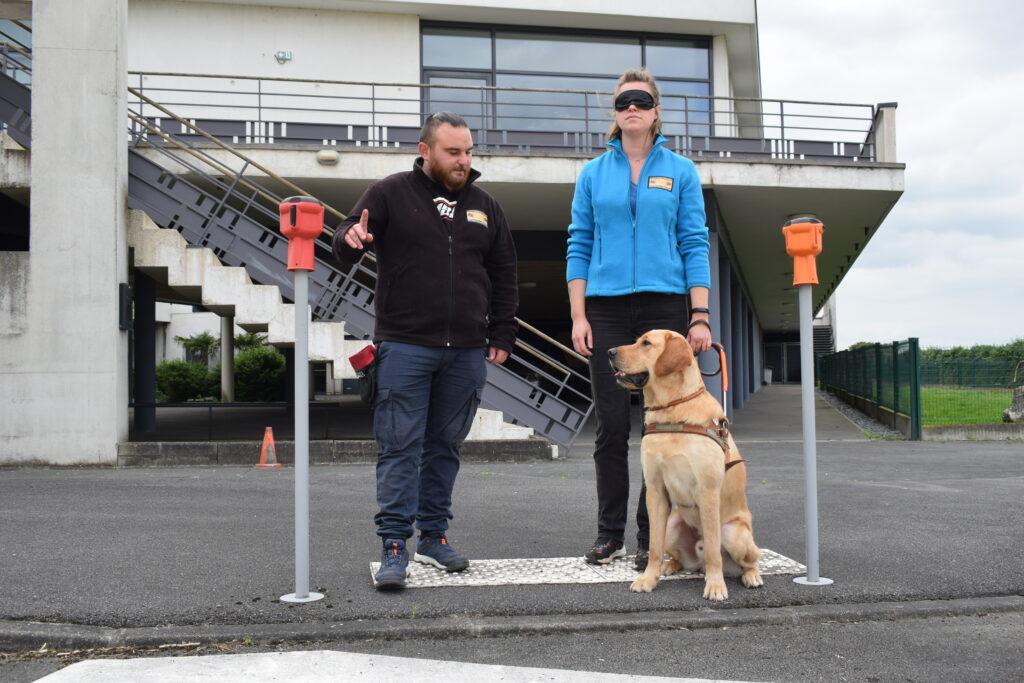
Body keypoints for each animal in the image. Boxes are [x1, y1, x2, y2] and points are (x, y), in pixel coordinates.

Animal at [606, 327, 761, 602]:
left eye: (646, 343)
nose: (609, 352)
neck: (671, 410)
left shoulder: (708, 492)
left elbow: (712, 549)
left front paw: (715, 586)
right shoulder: (655, 490)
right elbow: (654, 547)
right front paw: (648, 578)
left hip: (736, 534)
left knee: (749, 559)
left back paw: (751, 576)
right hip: (673, 524)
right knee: (679, 557)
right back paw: (669, 566)